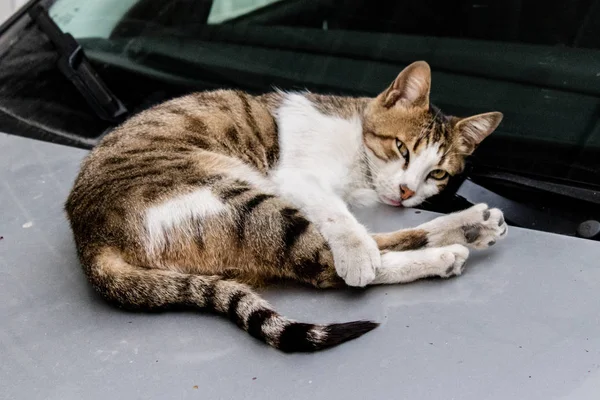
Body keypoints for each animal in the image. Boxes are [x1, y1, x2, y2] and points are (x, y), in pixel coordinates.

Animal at [65, 61, 506, 352]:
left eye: (437, 174)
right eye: (401, 148)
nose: (406, 191)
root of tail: (89, 239)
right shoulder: (296, 176)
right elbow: (339, 217)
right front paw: (356, 251)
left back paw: (471, 226)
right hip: (236, 198)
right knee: (328, 266)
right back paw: (443, 253)